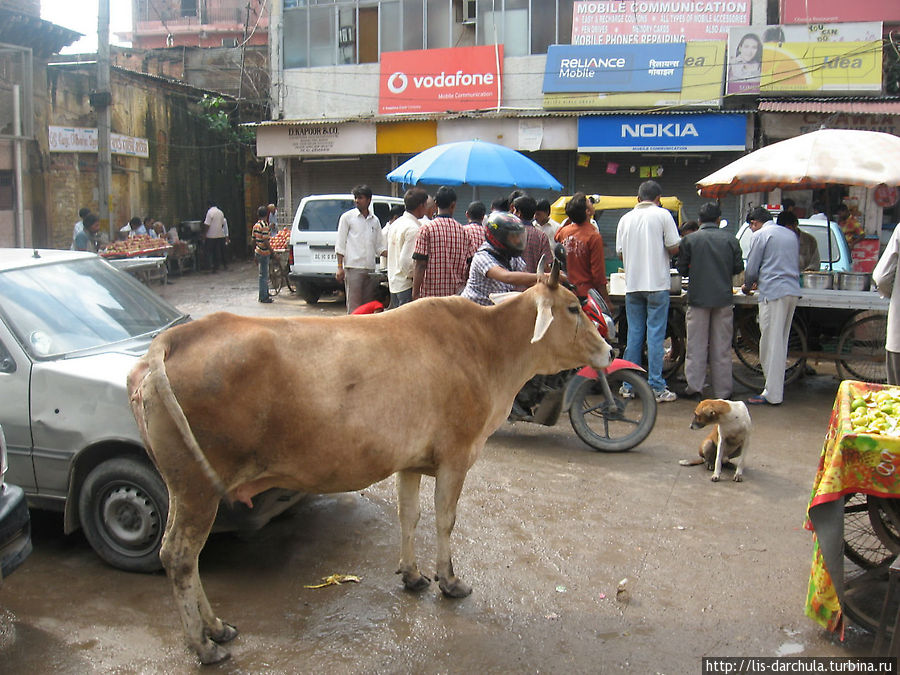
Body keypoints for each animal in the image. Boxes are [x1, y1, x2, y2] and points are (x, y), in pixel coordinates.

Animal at [126, 266, 612, 664]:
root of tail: (168, 343)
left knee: (184, 556)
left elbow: (409, 516)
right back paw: (203, 645)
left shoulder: (411, 463)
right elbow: (444, 521)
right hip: (196, 488)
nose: (608, 351)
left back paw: (216, 628)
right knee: (180, 555)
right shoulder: (456, 457)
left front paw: (413, 575)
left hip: (182, 486)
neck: (487, 347)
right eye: (573, 307)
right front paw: (449, 580)